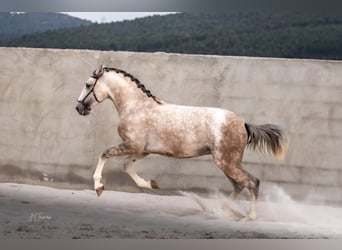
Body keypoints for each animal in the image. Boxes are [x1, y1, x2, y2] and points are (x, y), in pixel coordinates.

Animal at [76, 65, 288, 221]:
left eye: (87, 85)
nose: (78, 108)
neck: (137, 107)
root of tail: (244, 124)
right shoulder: (142, 151)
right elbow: (127, 166)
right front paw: (151, 184)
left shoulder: (132, 146)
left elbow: (105, 154)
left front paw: (98, 187)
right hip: (228, 163)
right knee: (239, 186)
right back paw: (219, 210)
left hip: (227, 162)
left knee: (252, 182)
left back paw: (248, 217)